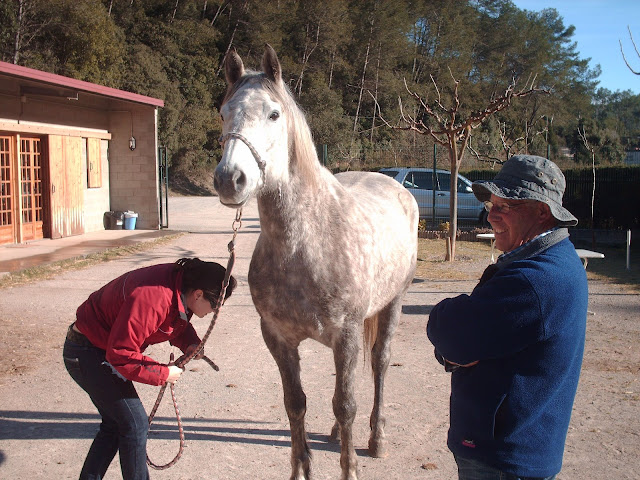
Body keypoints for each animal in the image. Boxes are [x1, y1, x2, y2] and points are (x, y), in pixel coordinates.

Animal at [213, 44, 418, 480]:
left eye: (274, 114)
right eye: (223, 113)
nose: (229, 180)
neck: (302, 244)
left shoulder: (347, 334)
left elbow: (347, 404)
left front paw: (350, 468)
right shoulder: (277, 337)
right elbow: (297, 403)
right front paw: (301, 468)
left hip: (393, 303)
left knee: (379, 364)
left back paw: (376, 439)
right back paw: (335, 435)